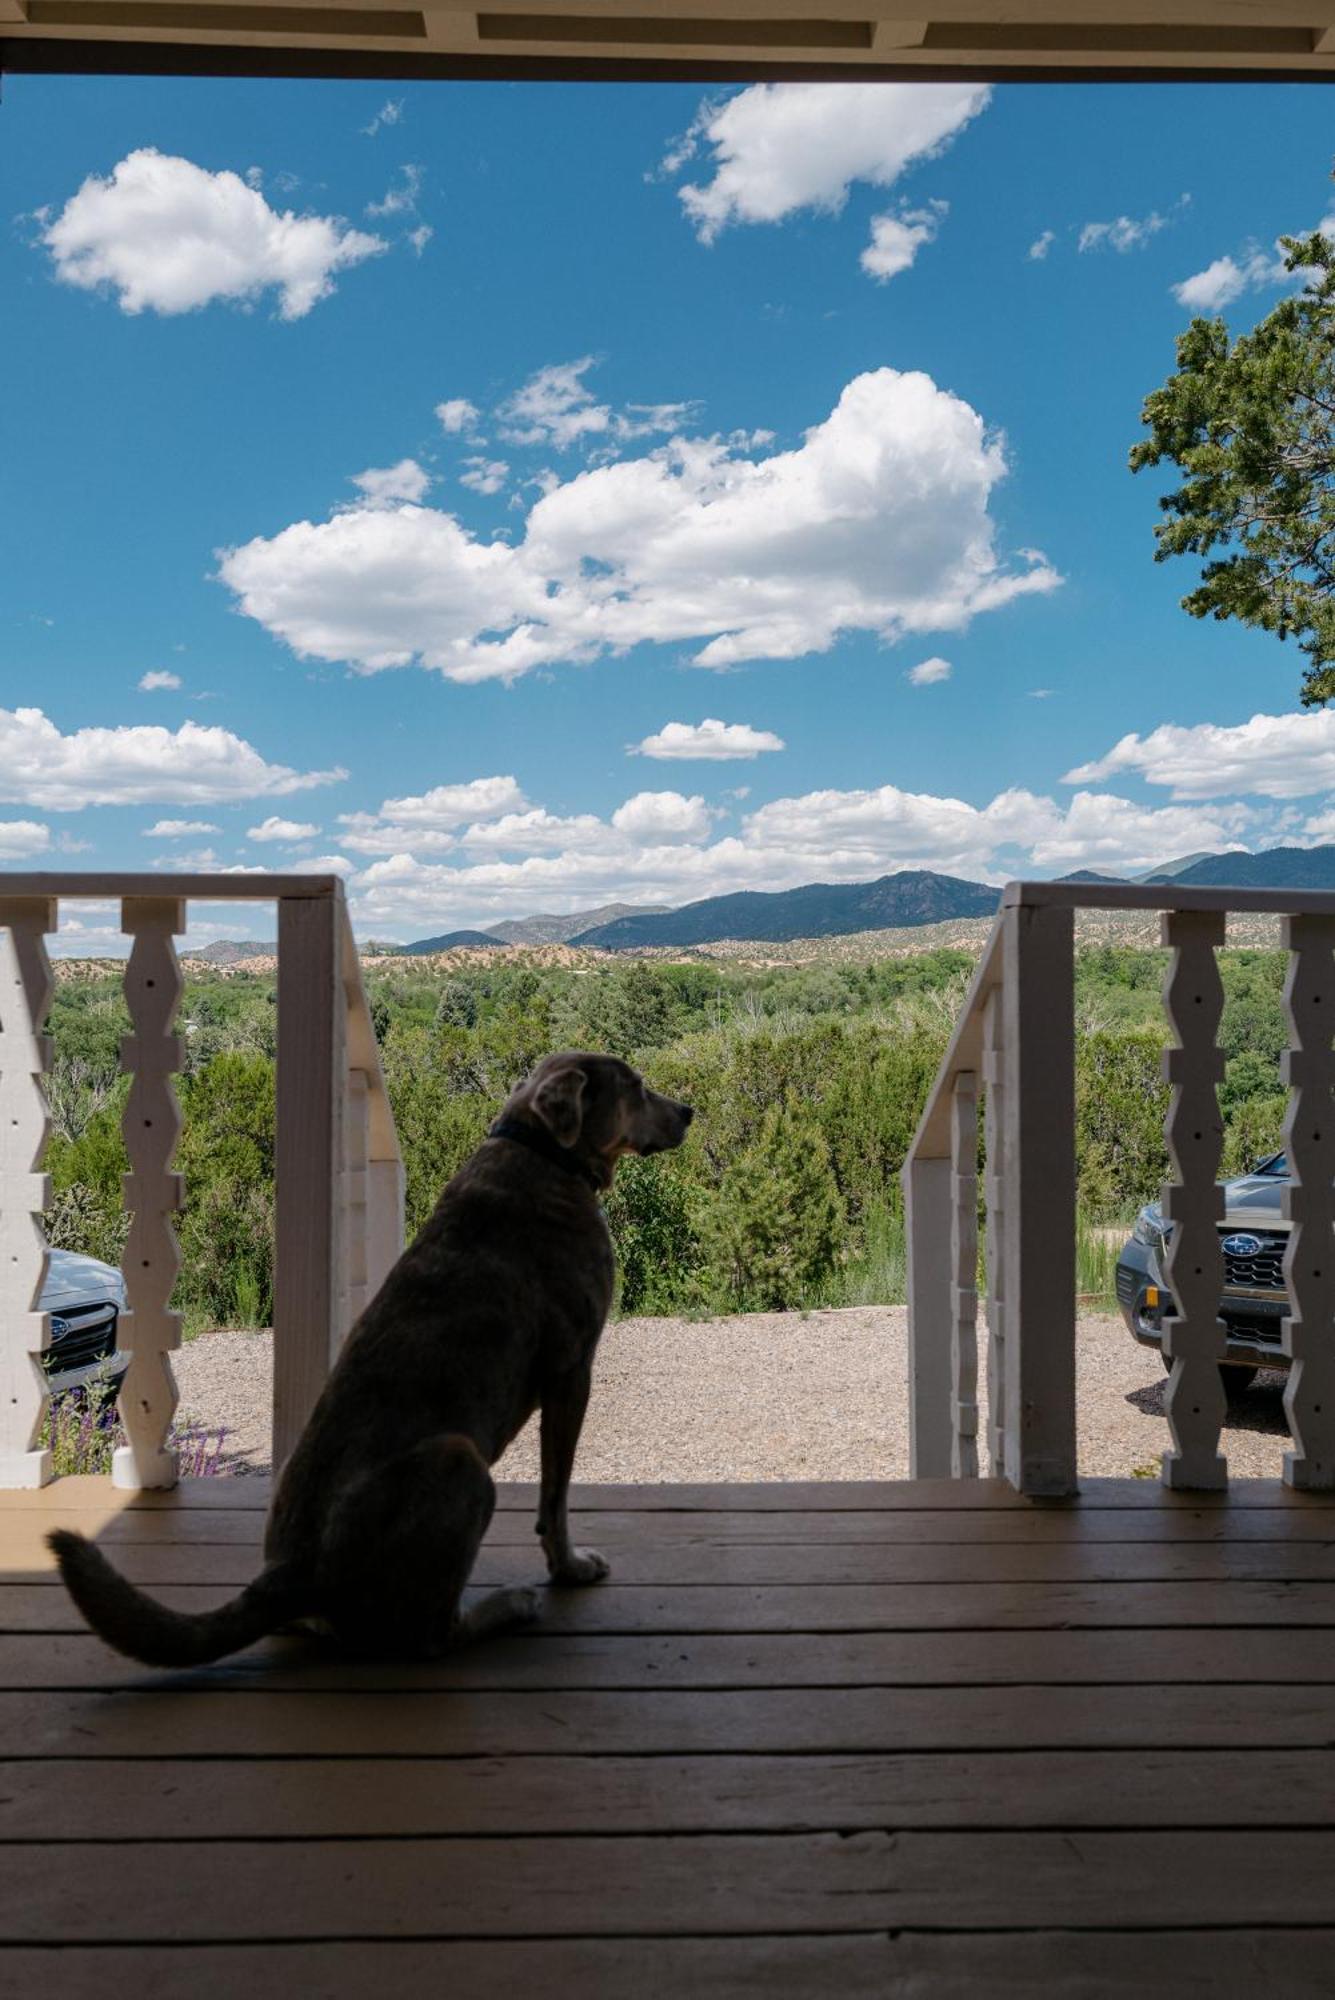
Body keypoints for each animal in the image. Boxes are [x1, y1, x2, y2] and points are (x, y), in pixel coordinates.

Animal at [46, 1056, 695, 1664]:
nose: (688, 1111)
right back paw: (508, 1605)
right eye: (636, 1086)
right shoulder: (571, 1370)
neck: (540, 1150)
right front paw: (570, 1566)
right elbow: (555, 1497)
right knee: (430, 1636)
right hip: (460, 1462)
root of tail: (291, 1574)